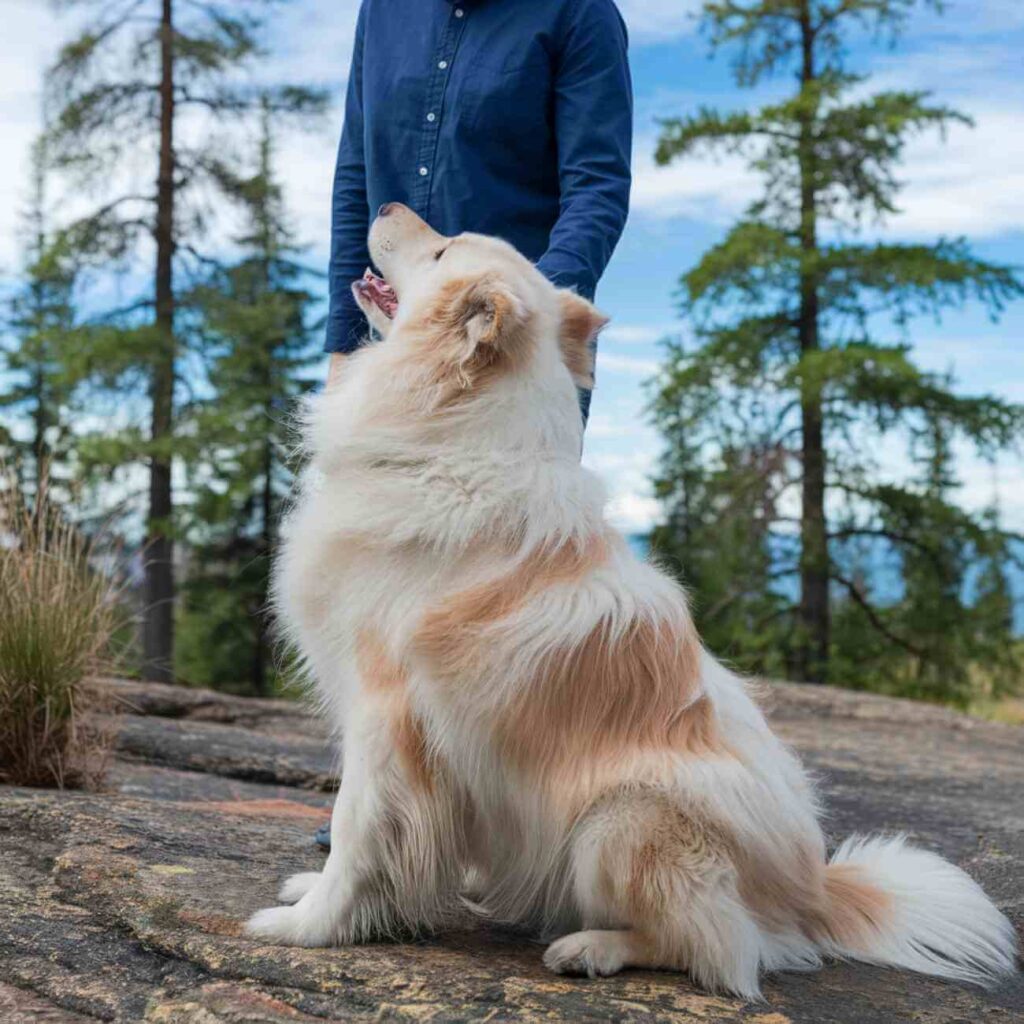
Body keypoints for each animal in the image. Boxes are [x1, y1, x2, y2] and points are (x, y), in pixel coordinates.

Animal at [245, 203, 1015, 995]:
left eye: (441, 250)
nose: (385, 206)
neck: (452, 442)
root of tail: (816, 892)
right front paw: (316, 896)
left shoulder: (386, 715)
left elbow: (357, 827)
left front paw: (310, 926)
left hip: (622, 820)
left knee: (719, 948)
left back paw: (590, 947)